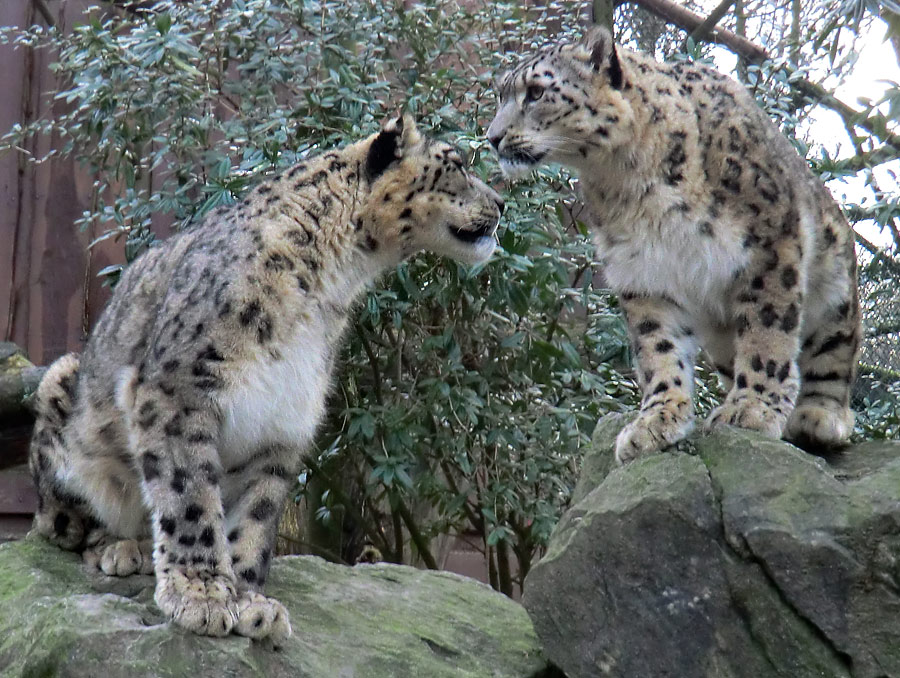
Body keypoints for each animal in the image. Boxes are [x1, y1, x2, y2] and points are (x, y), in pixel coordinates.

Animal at [28, 114, 502, 644]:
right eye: (458, 165)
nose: (503, 203)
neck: (332, 286)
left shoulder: (283, 418)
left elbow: (253, 519)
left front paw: (251, 603)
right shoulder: (181, 391)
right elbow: (191, 497)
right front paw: (201, 595)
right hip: (64, 399)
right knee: (60, 521)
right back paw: (120, 547)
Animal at [488, 25, 860, 462]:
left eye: (535, 92)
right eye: (501, 94)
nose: (493, 137)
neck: (627, 178)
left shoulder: (768, 248)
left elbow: (767, 331)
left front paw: (753, 407)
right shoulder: (642, 272)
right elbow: (658, 347)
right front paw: (657, 418)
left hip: (833, 288)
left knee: (832, 356)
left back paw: (818, 417)